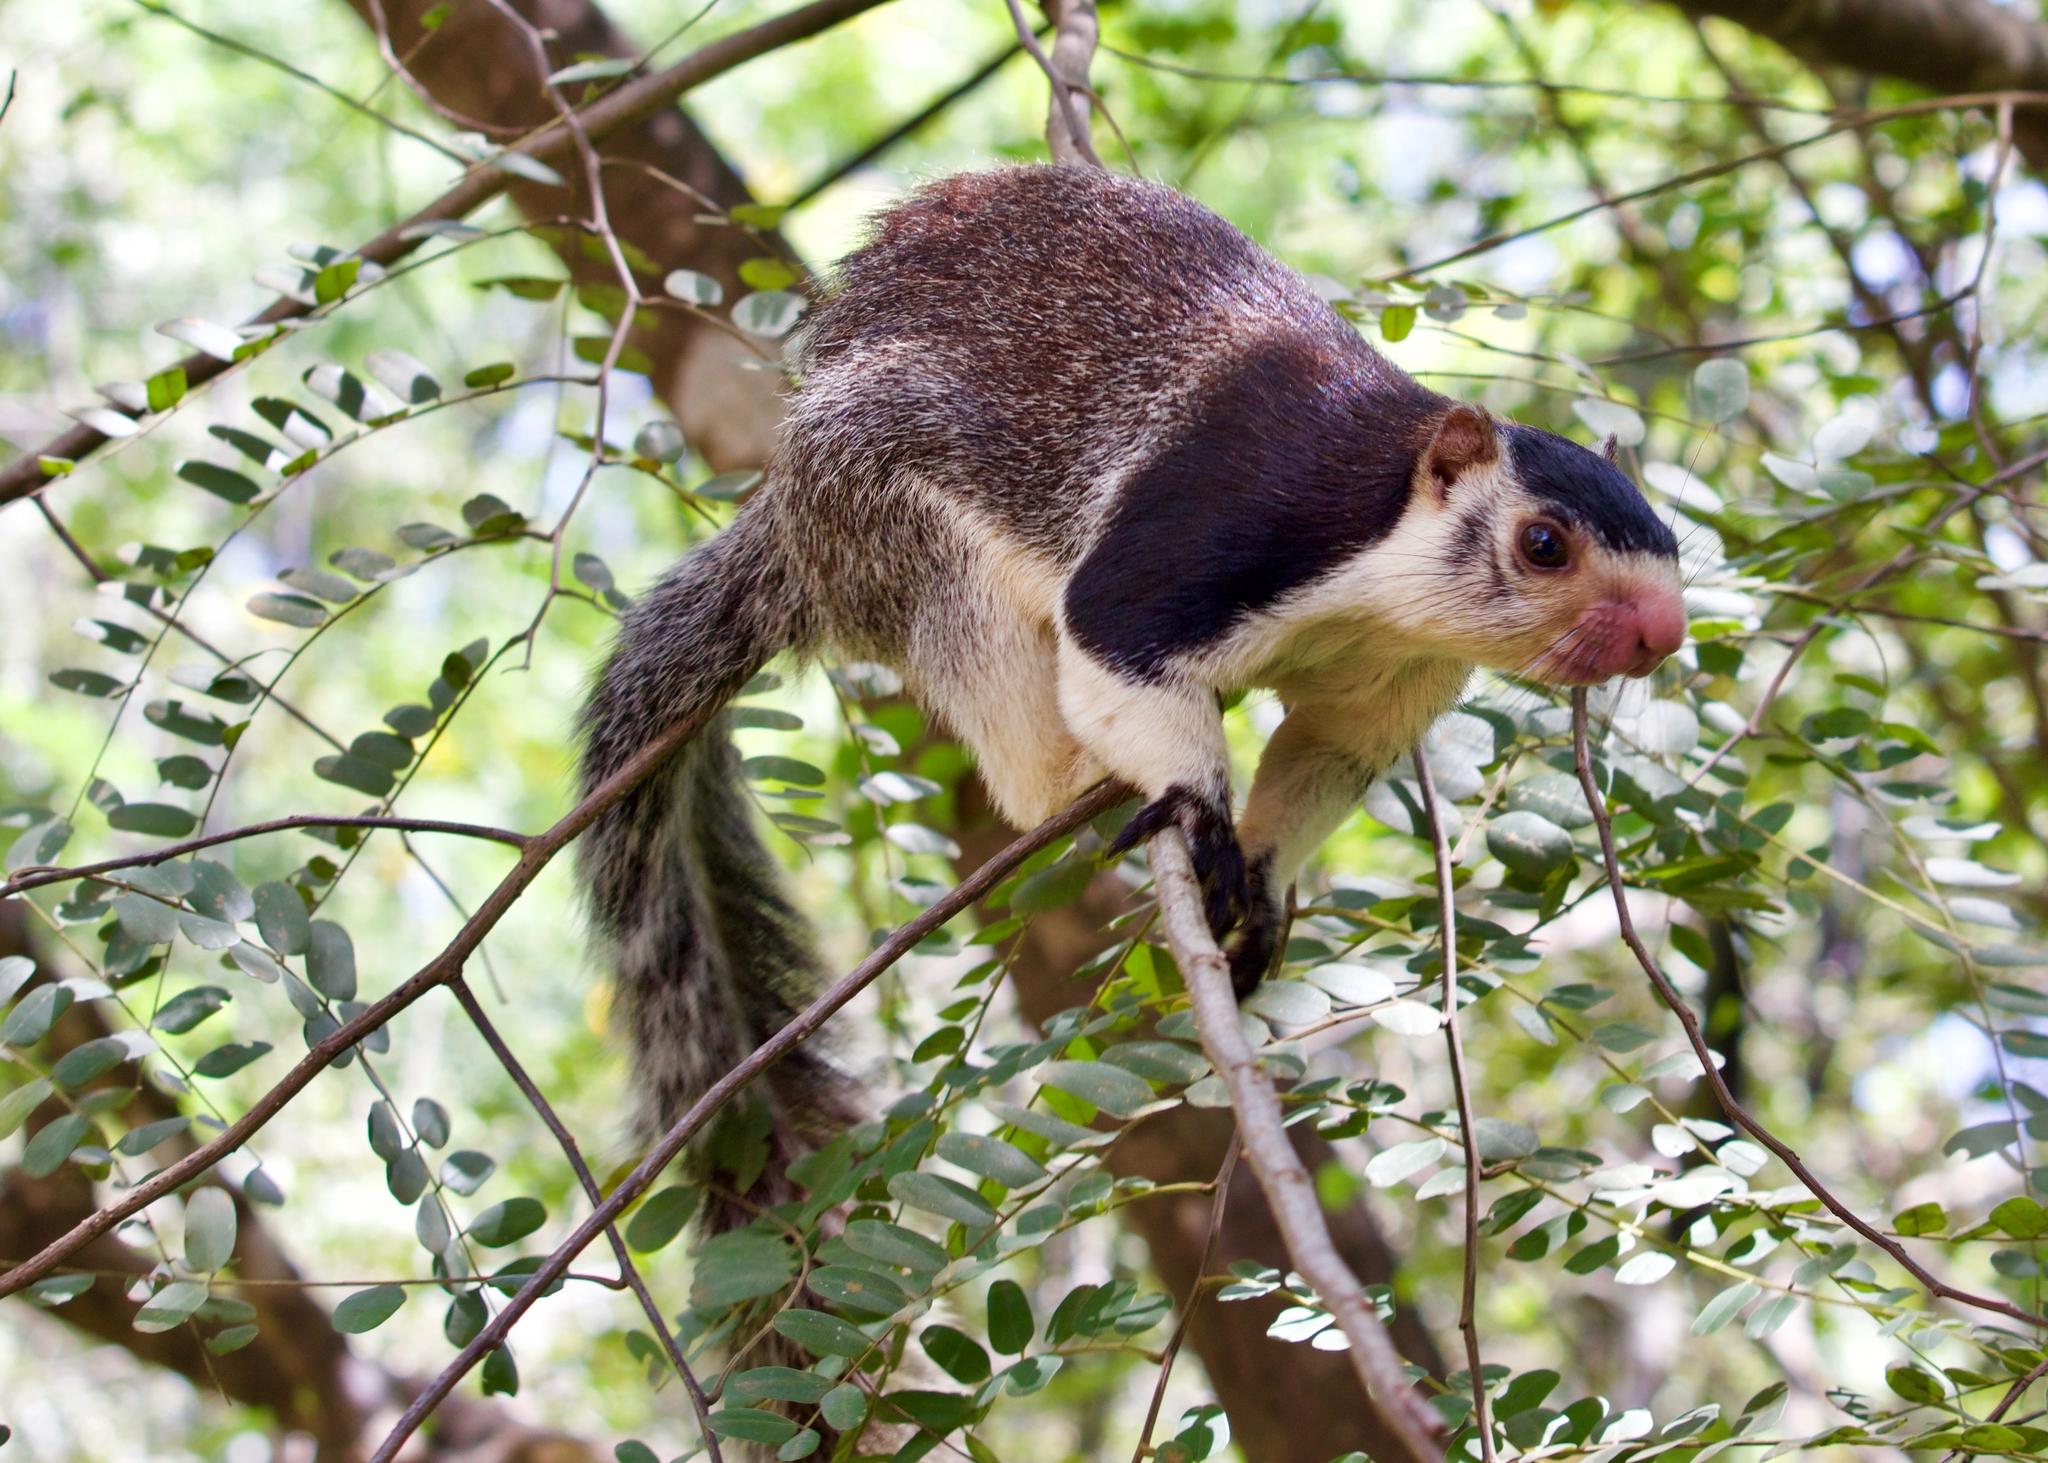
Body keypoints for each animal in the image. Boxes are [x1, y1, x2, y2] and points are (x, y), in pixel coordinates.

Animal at [576, 164, 1684, 1211]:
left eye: (1674, 544)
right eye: (1543, 544)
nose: (1661, 633)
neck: (1377, 575)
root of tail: (793, 530)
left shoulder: (1392, 682)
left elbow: (1322, 750)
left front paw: (1262, 884)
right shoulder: (1235, 523)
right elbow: (1112, 637)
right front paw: (1196, 808)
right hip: (895, 524)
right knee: (1018, 740)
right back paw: (1078, 780)